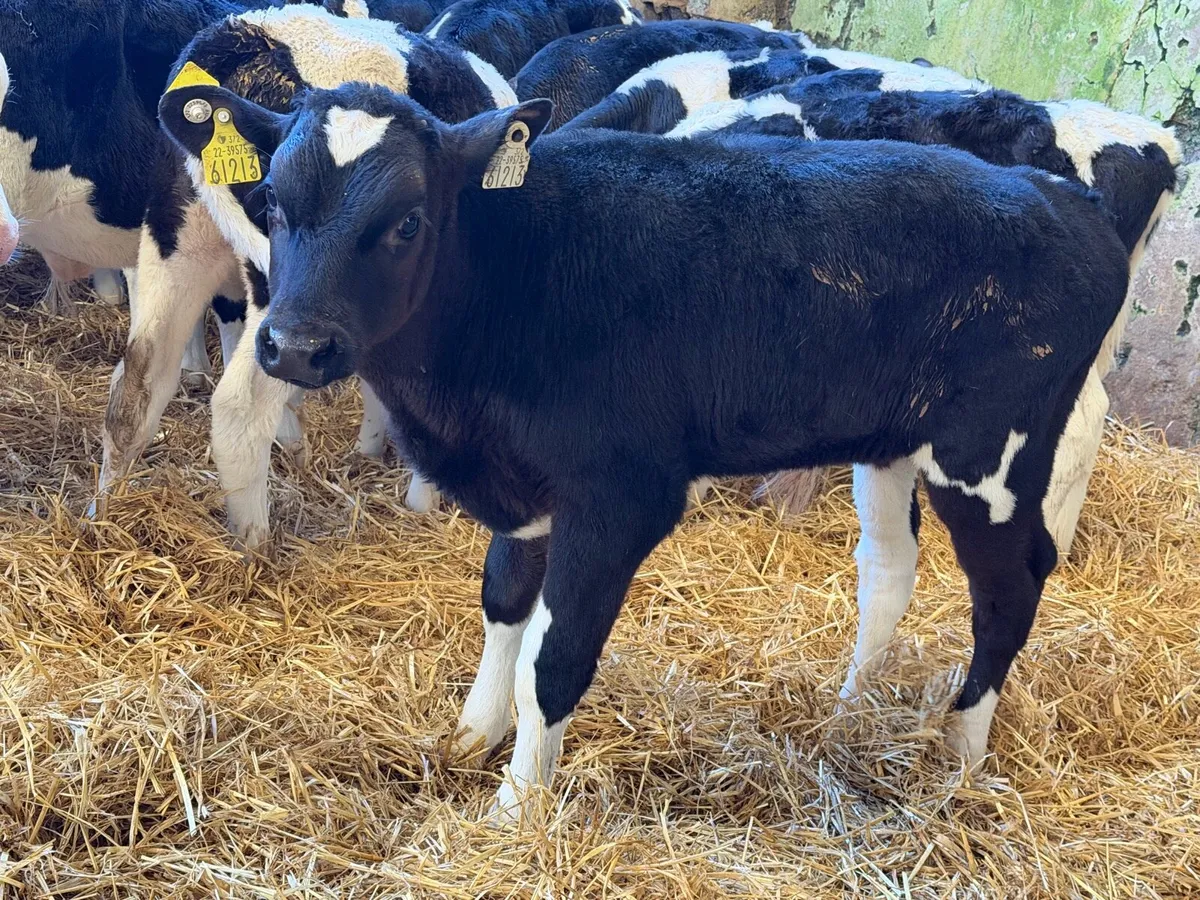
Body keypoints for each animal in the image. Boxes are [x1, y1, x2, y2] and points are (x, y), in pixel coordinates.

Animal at [120, 4, 518, 549]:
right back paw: (254, 547)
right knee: (240, 407)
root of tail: (245, 35)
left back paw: (101, 510)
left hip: (176, 240)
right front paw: (425, 499)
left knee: (138, 381)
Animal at [159, 81, 1131, 821]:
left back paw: (960, 754)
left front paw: (516, 807)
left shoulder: (620, 495)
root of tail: (1061, 196)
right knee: (888, 570)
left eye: (406, 222)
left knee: (1010, 590)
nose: (294, 345)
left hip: (990, 460)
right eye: (271, 205)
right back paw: (852, 707)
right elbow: (504, 603)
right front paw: (473, 733)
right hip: (893, 442)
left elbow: (554, 658)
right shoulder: (526, 484)